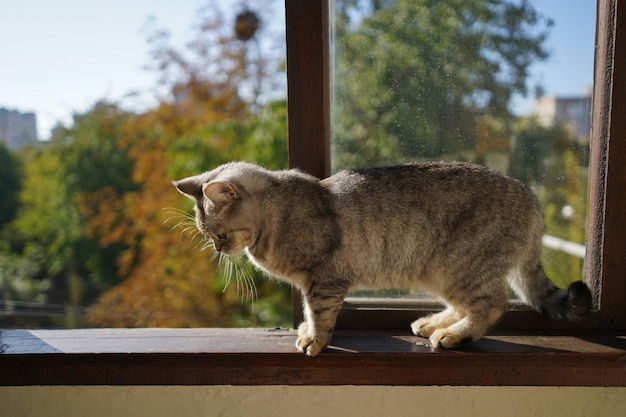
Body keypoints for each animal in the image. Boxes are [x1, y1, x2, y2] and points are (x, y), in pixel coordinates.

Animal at [172, 161, 588, 356]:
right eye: (207, 236)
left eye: (219, 235)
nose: (217, 249)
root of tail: (532, 201)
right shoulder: (311, 283)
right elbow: (308, 312)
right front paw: (306, 332)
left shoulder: (324, 279)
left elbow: (319, 313)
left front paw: (315, 341)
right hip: (439, 271)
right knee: (467, 304)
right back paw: (433, 323)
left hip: (459, 266)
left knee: (492, 305)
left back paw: (453, 335)